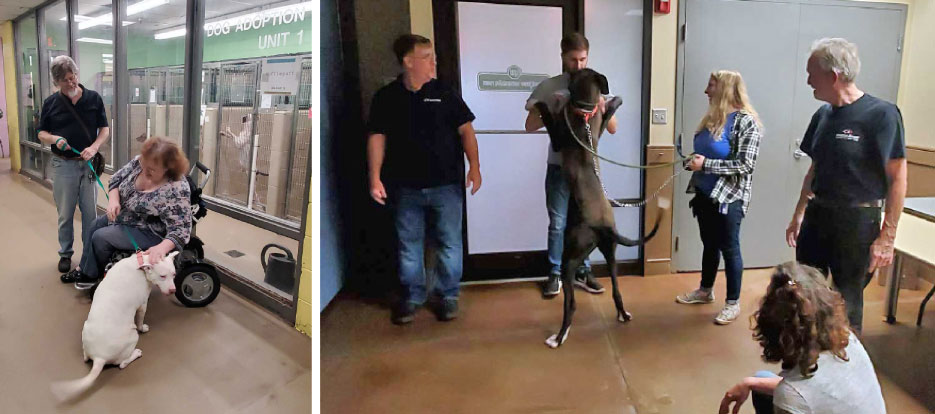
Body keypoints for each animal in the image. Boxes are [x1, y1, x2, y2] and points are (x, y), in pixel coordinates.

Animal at [51, 251, 181, 402]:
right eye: (162, 276)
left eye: (174, 275)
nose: (173, 290)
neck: (140, 263)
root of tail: (99, 358)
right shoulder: (142, 304)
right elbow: (140, 320)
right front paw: (143, 328)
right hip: (133, 336)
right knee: (122, 364)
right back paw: (136, 353)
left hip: (85, 329)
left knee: (86, 356)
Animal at [532, 69, 664, 348]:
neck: (584, 110)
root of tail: (604, 227)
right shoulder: (599, 126)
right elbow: (610, 112)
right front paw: (615, 101)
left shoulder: (559, 139)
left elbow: (549, 119)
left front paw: (541, 105)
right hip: (608, 251)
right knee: (616, 289)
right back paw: (623, 313)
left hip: (571, 257)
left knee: (571, 304)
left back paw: (559, 336)